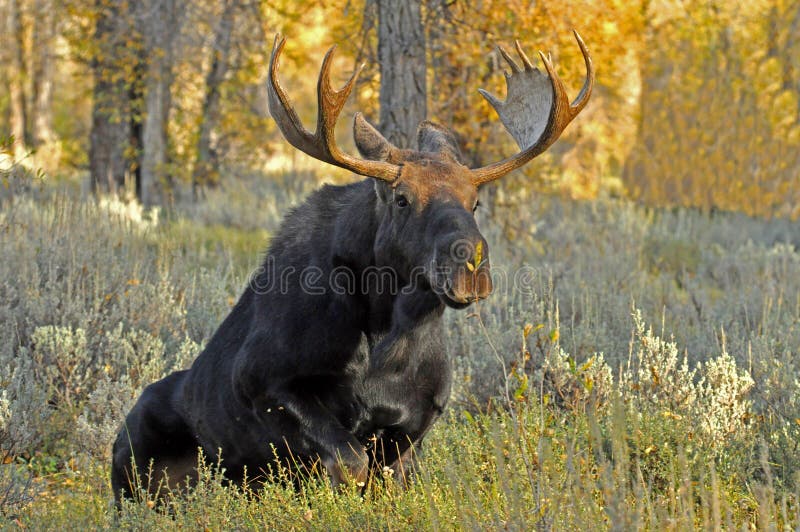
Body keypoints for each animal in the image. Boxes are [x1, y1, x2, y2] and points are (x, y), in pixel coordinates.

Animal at [109, 33, 592, 502]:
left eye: (475, 201)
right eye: (402, 199)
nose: (471, 261)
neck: (387, 337)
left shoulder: (419, 419)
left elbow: (389, 481)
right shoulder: (260, 382)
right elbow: (350, 463)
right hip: (133, 450)